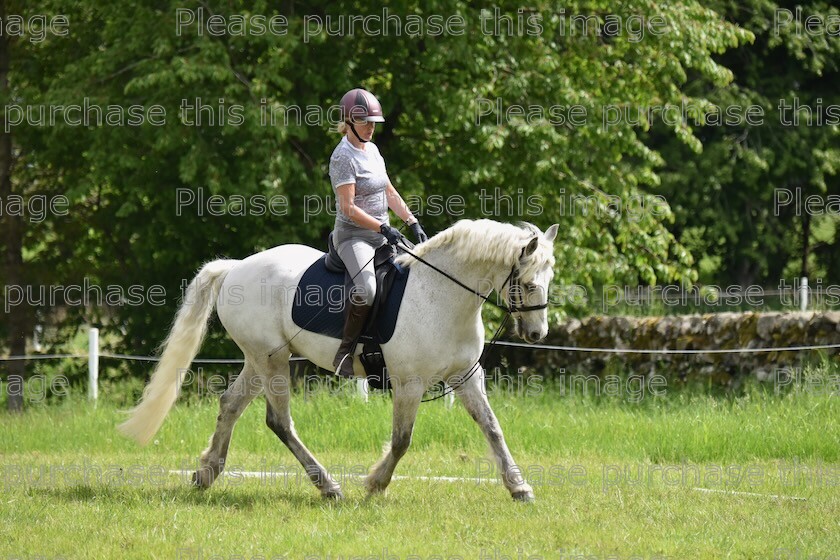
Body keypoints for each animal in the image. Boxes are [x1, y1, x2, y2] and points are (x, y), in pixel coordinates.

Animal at [118, 219, 556, 504]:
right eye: (528, 283)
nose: (537, 334)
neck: (442, 295)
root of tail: (235, 267)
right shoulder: (409, 384)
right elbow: (402, 439)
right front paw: (376, 484)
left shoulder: (465, 376)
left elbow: (492, 428)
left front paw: (519, 487)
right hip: (272, 360)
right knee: (279, 421)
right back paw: (328, 486)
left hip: (259, 359)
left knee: (230, 405)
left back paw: (207, 473)